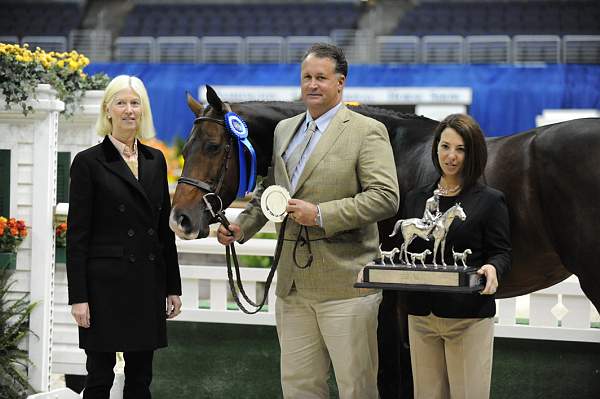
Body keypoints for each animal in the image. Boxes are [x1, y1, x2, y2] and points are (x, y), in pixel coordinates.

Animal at [169, 86, 600, 398]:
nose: (181, 220)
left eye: (213, 146)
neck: (392, 151)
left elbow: (392, 378)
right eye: (185, 149)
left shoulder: (385, 299)